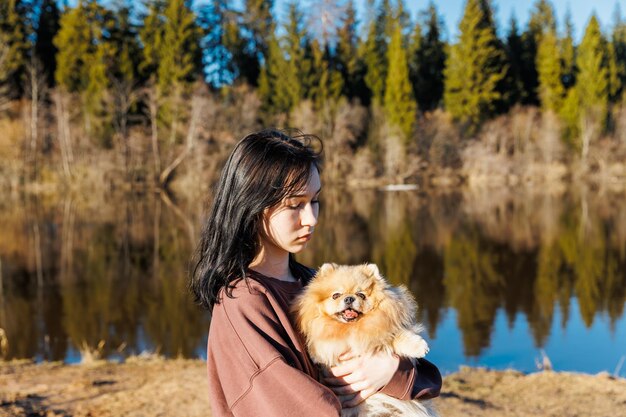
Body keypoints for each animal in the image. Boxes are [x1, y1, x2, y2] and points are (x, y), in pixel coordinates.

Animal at [292, 264, 434, 416]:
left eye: (361, 295)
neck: (352, 327)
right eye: (336, 295)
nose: (349, 298)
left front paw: (418, 346)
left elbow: (396, 336)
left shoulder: (381, 330)